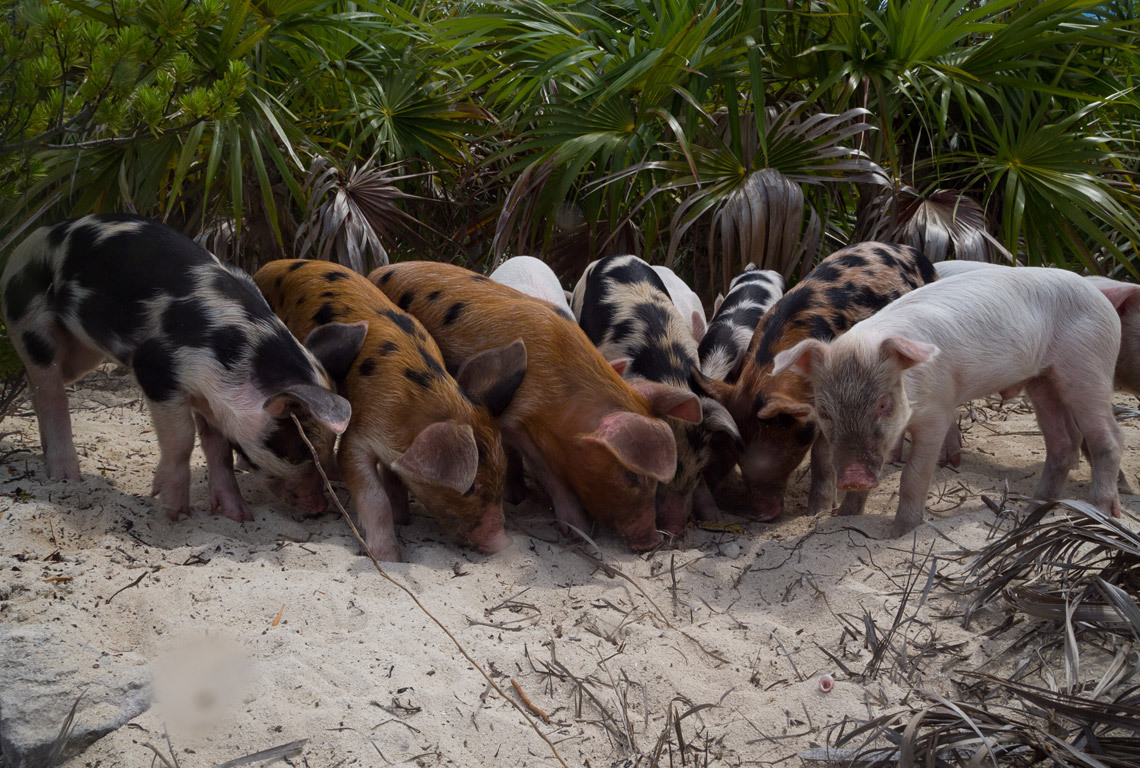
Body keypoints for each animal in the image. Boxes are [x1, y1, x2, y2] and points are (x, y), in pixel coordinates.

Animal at [0, 215, 353, 519]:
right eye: (299, 449)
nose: (320, 506)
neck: (237, 354)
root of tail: (27, 242)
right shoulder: (155, 367)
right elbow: (183, 439)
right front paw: (172, 510)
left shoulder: (211, 399)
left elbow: (219, 449)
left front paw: (239, 516)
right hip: (29, 322)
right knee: (51, 391)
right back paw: (66, 477)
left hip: (84, 354)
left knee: (43, 383)